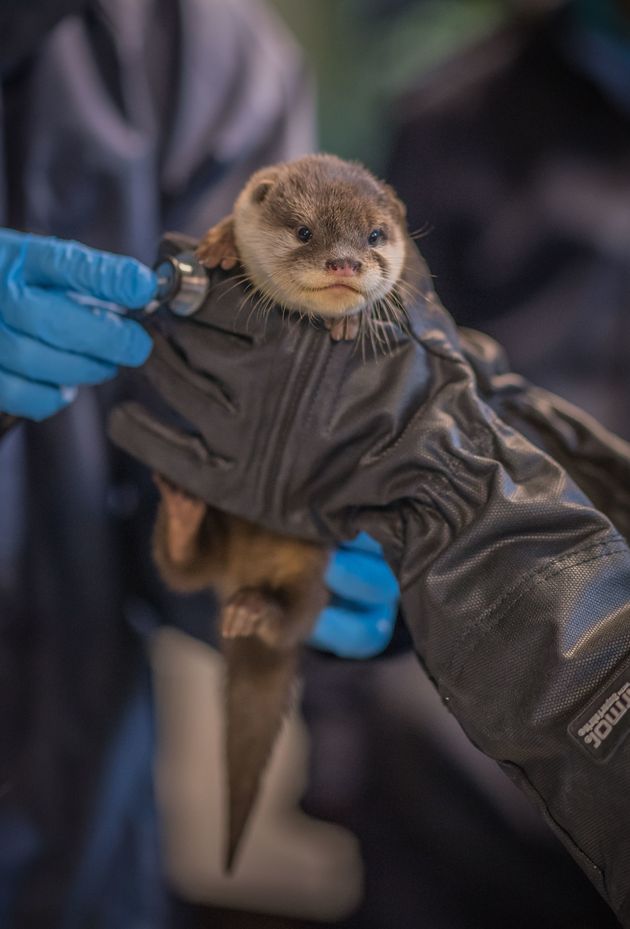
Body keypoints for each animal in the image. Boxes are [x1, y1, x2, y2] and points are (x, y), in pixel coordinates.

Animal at [152, 152, 410, 872]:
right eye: (303, 231)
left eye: (375, 235)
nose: (346, 264)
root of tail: (244, 575)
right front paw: (217, 242)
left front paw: (350, 323)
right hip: (218, 536)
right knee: (184, 568)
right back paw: (182, 515)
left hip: (313, 572)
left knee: (295, 620)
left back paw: (257, 612)